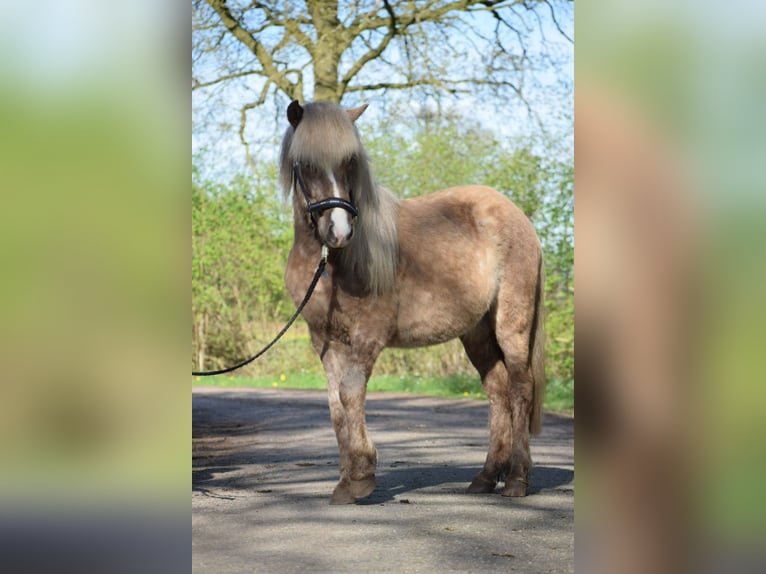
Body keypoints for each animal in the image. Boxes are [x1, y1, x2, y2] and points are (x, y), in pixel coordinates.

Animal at [280, 101, 544, 506]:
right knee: (497, 390)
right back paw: (485, 477)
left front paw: (362, 477)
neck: (330, 264)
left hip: (511, 325)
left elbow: (350, 391)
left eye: (350, 162)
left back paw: (516, 480)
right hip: (476, 333)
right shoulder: (324, 340)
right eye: (305, 164)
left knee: (519, 388)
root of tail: (520, 219)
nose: (339, 231)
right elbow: (336, 407)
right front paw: (344, 482)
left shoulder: (369, 334)